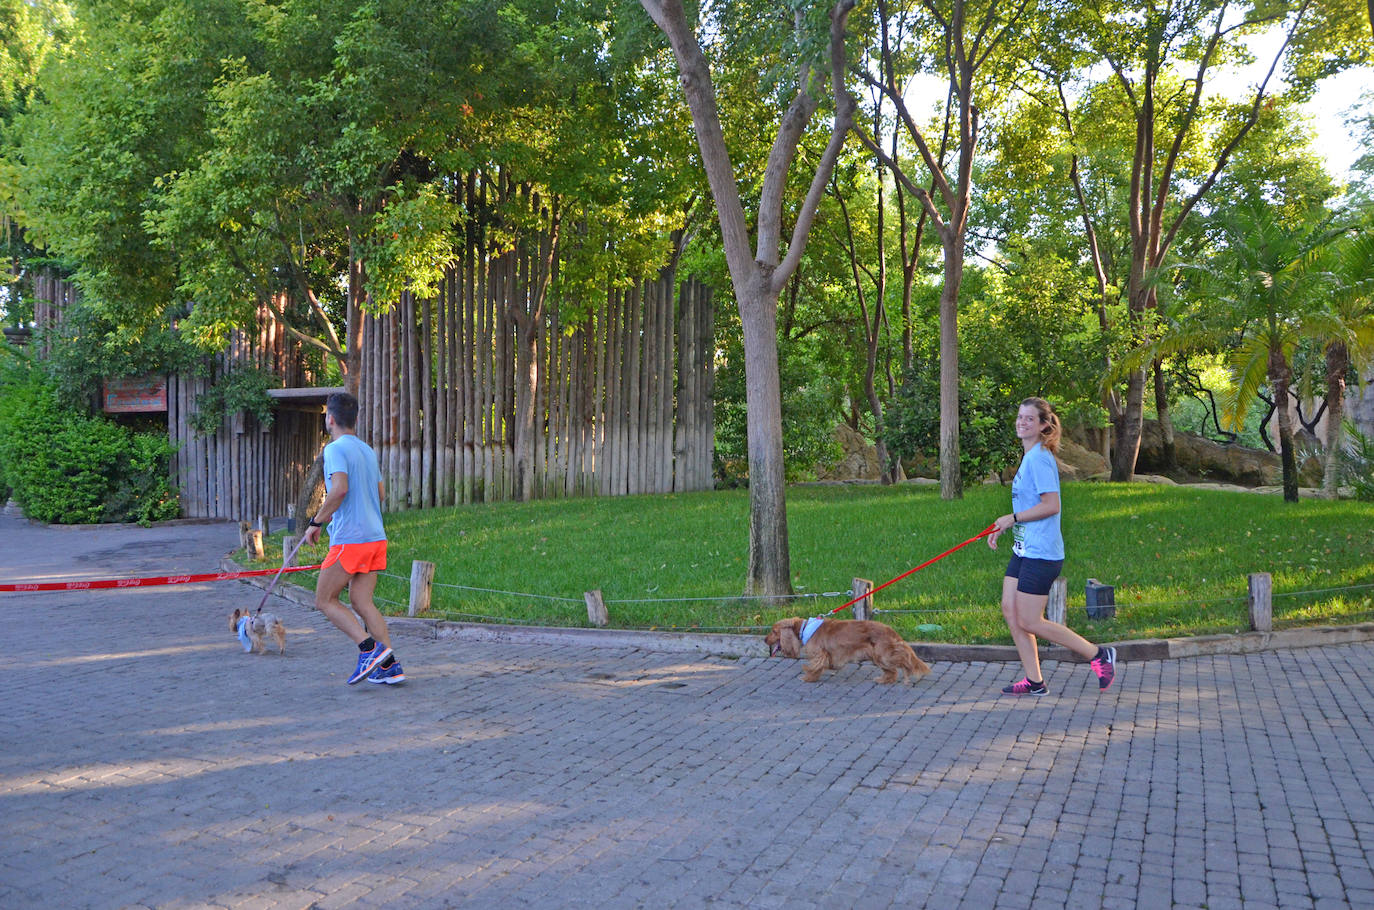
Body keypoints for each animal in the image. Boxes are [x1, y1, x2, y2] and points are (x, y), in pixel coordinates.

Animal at [769, 621, 928, 684]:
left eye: (774, 631)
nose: (765, 639)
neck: (805, 627)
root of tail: (890, 630)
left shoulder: (819, 654)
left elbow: (814, 667)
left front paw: (807, 677)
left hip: (882, 654)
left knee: (902, 660)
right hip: (878, 655)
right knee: (892, 671)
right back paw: (883, 679)